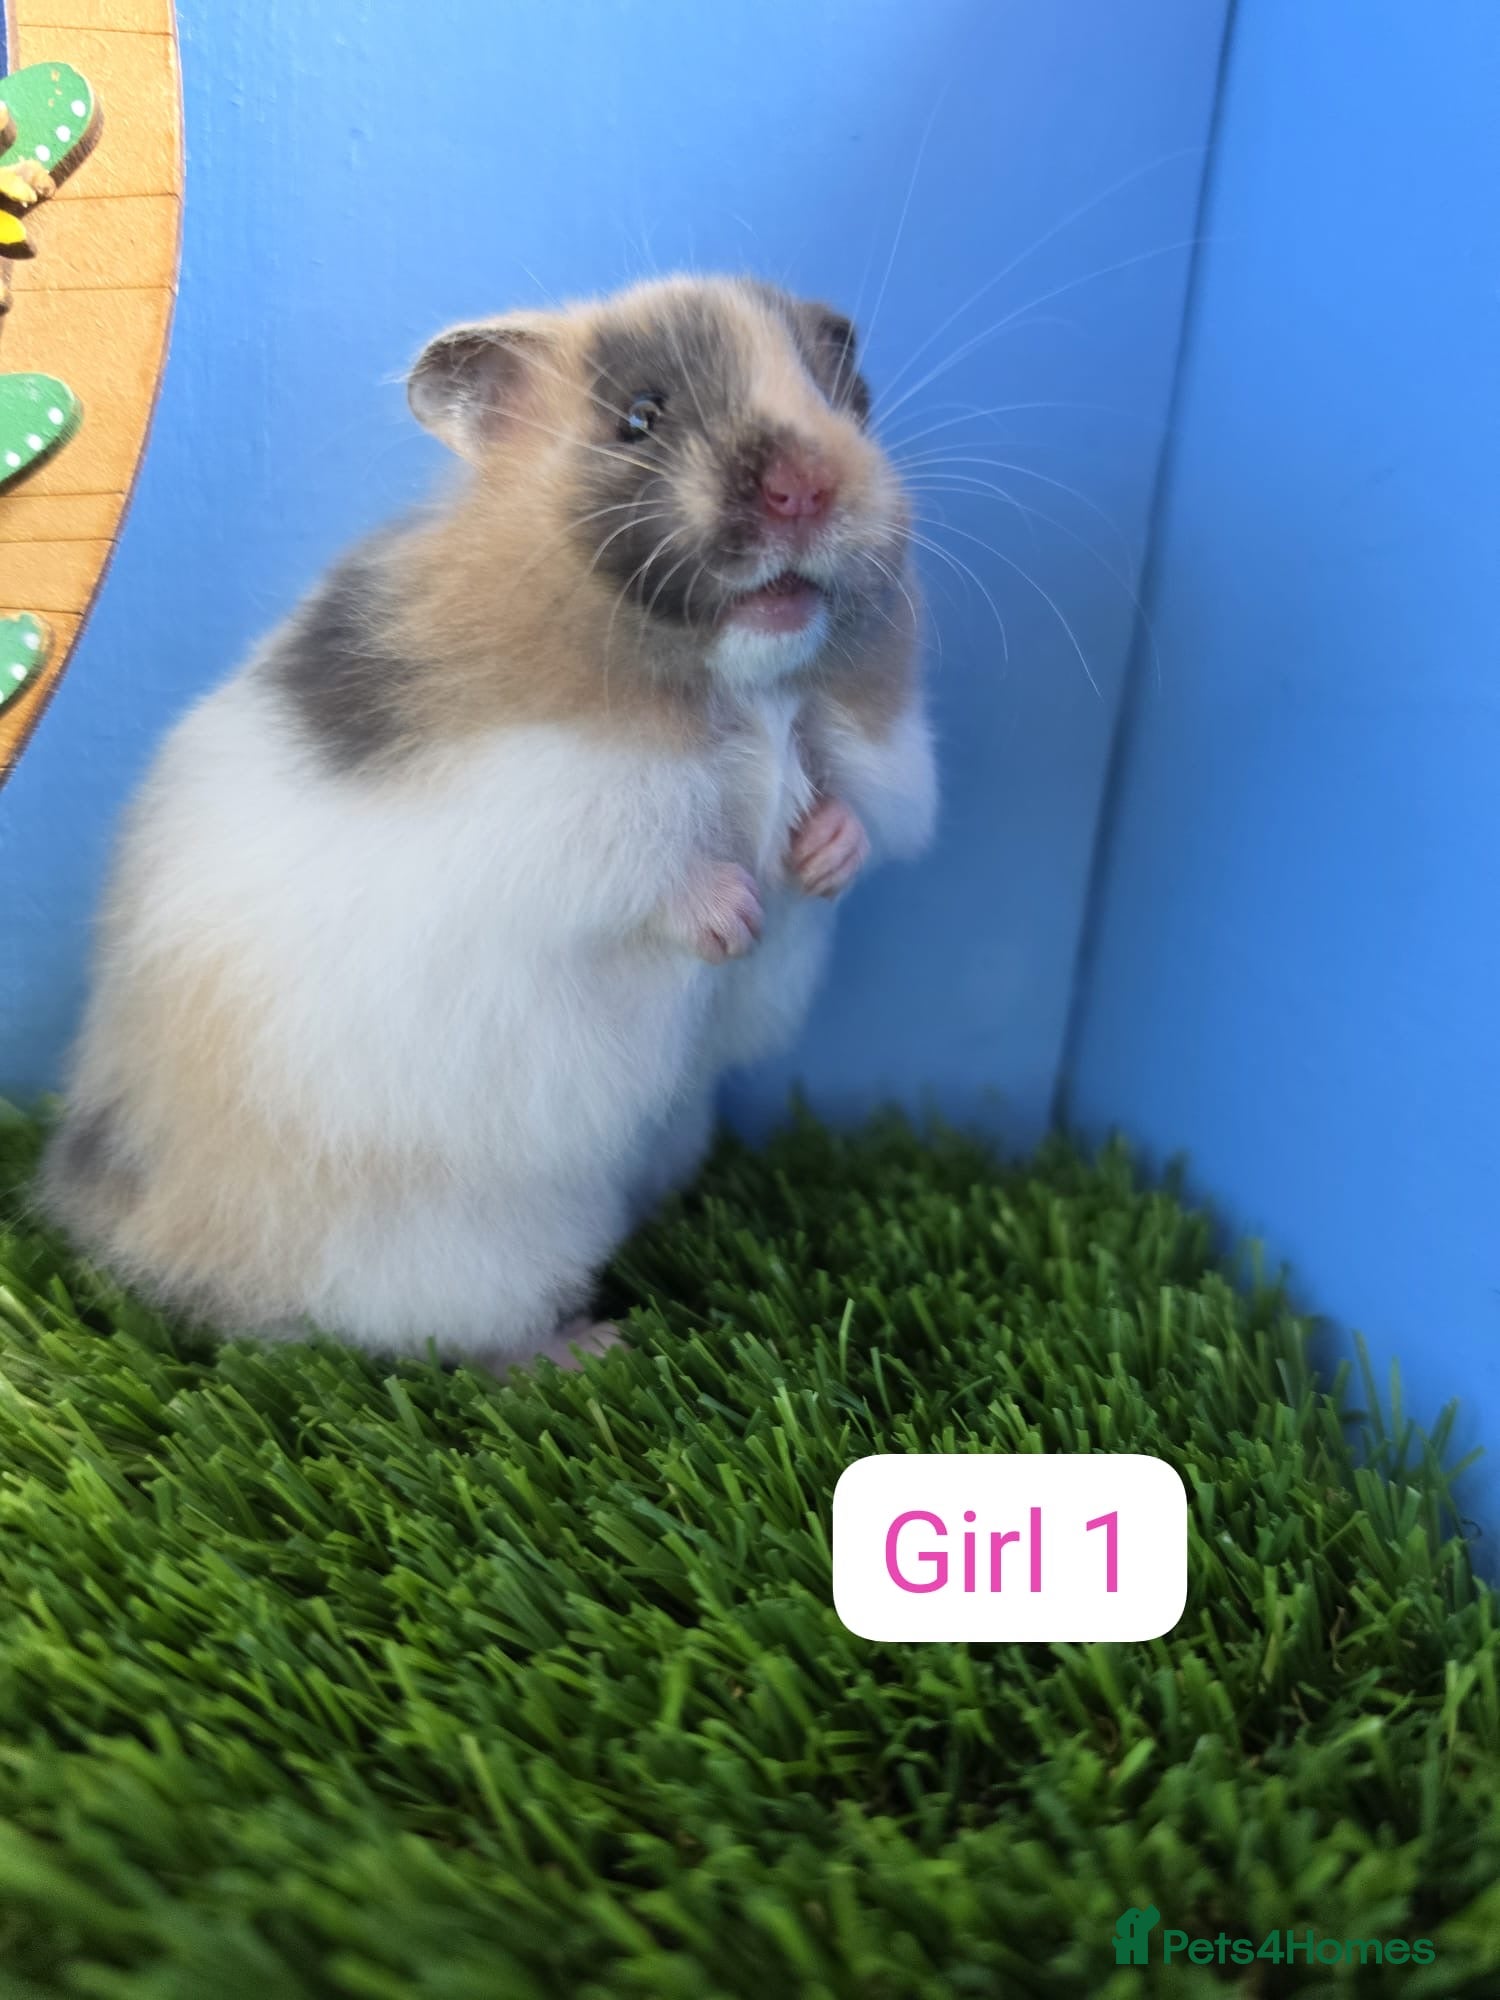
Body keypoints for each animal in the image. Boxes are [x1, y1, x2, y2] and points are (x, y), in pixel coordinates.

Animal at [42, 275, 937, 1370]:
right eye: (640, 418)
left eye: (846, 397)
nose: (807, 490)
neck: (744, 680)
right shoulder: (546, 808)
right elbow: (651, 872)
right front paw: (735, 918)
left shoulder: (883, 749)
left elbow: (871, 808)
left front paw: (817, 860)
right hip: (460, 1244)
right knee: (459, 1342)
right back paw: (592, 1345)